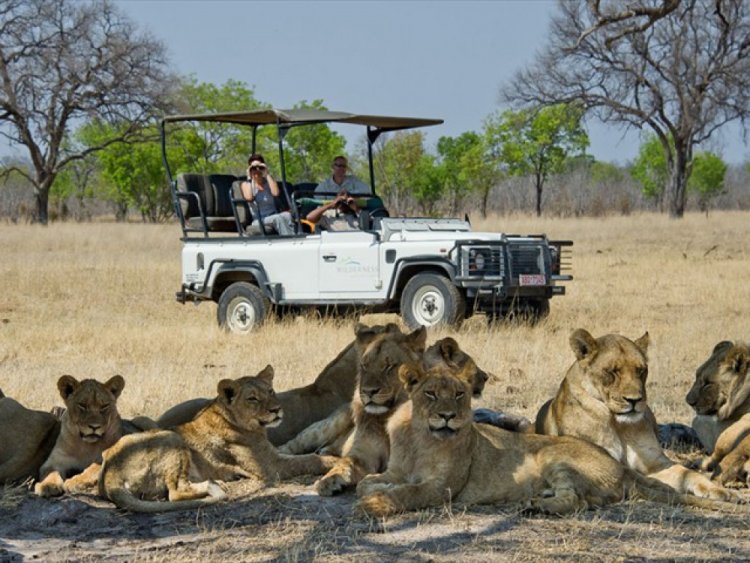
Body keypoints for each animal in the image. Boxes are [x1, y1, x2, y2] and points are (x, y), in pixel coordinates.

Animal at [96, 368, 338, 512]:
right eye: (252, 399)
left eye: (271, 391)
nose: (277, 409)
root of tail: (110, 474)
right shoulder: (270, 467)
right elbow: (308, 460)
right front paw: (335, 461)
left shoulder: (275, 454)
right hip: (171, 437)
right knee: (175, 492)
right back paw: (214, 484)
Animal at [356, 364, 748, 516]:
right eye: (431, 394)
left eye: (459, 395)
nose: (449, 416)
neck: (419, 436)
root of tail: (621, 467)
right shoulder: (398, 469)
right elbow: (369, 481)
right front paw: (376, 488)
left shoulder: (443, 488)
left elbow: (410, 493)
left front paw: (377, 503)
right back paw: (537, 501)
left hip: (553, 457)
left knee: (578, 500)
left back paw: (538, 507)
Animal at [536, 330, 736, 502]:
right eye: (612, 371)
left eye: (641, 370)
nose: (634, 400)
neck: (619, 425)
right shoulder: (599, 457)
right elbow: (634, 475)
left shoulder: (655, 463)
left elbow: (686, 473)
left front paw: (719, 490)